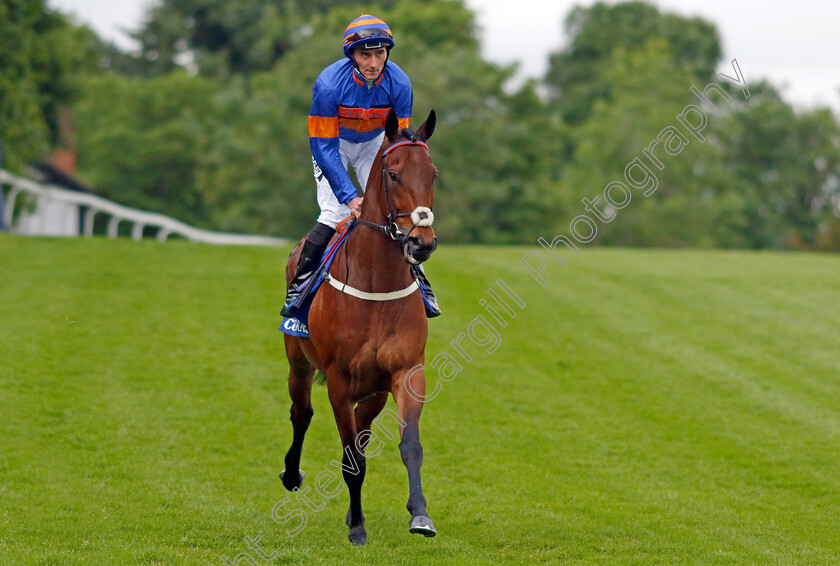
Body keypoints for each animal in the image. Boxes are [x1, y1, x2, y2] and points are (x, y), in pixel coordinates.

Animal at [280, 108, 440, 548]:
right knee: (301, 412)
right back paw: (291, 473)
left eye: (433, 174)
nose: (422, 243)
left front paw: (420, 515)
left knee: (362, 433)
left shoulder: (406, 372)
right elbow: (350, 457)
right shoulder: (337, 378)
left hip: (374, 391)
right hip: (299, 363)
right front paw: (357, 529)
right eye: (393, 174)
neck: (377, 282)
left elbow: (409, 445)